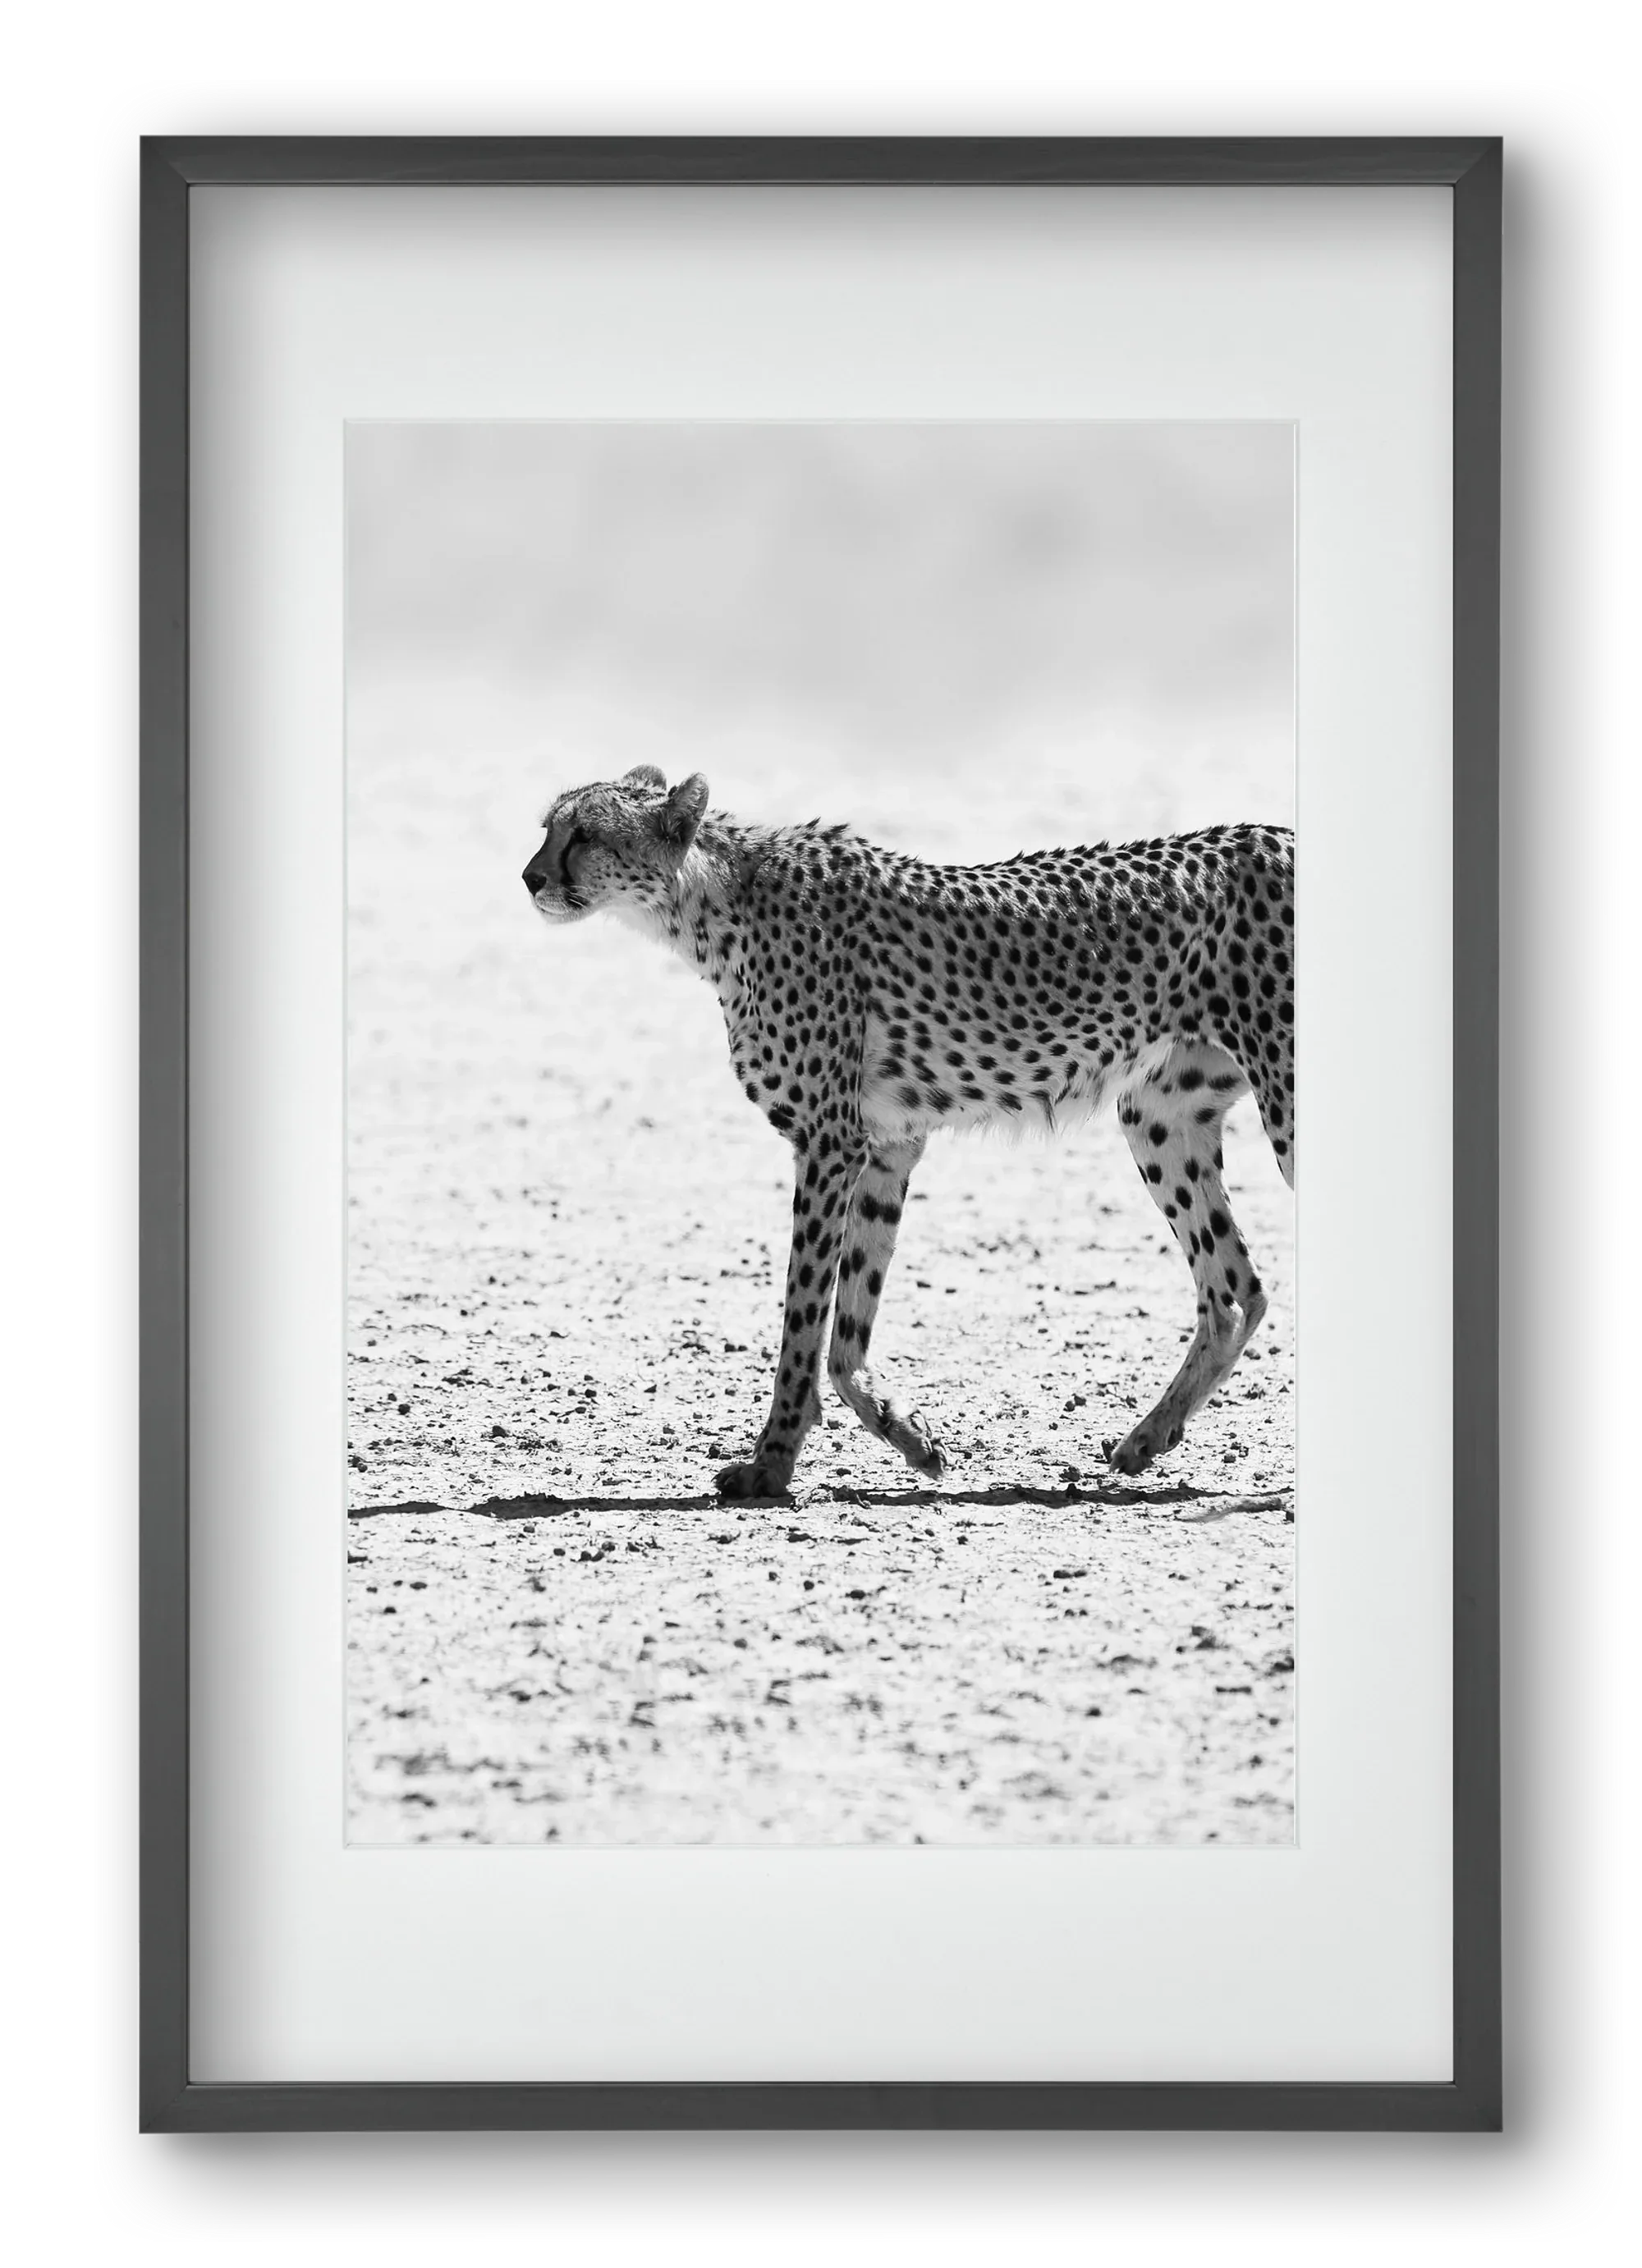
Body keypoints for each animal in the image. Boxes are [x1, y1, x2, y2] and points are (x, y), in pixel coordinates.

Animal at [524, 765, 1294, 1501]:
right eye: (548, 828)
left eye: (585, 834)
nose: (530, 877)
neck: (710, 903)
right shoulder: (887, 1146)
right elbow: (846, 1330)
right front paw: (910, 1436)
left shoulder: (829, 1142)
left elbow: (803, 1318)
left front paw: (770, 1464)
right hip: (1159, 1116)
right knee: (1234, 1289)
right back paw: (1146, 1438)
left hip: (1281, 1100)